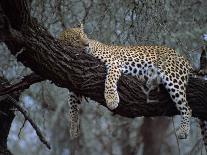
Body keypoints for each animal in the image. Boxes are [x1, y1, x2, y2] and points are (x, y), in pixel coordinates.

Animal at [58, 23, 207, 147]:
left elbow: (109, 80)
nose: (87, 44)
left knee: (187, 107)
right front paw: (73, 128)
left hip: (172, 76)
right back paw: (149, 80)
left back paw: (183, 131)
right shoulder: (74, 80)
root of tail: (185, 60)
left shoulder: (114, 63)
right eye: (76, 39)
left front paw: (111, 99)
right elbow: (72, 105)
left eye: (84, 35)